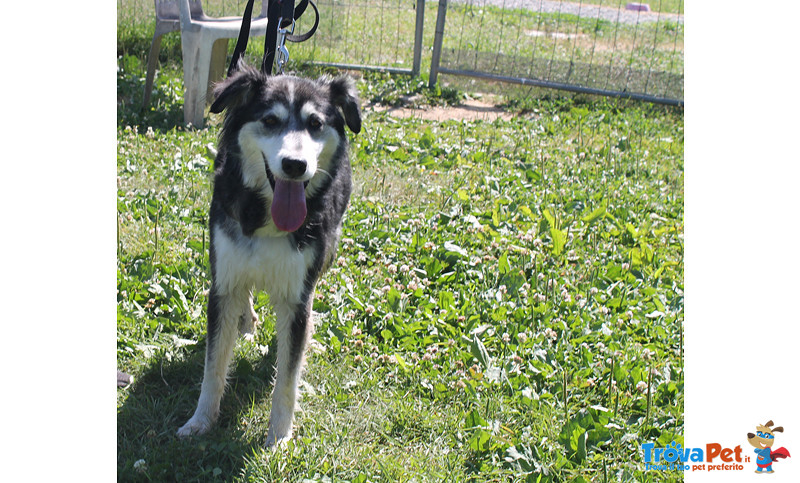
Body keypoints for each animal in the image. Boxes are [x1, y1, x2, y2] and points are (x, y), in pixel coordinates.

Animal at [178, 63, 362, 446]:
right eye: (270, 121)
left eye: (315, 124)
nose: (295, 165)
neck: (266, 216)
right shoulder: (223, 280)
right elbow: (213, 365)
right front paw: (201, 421)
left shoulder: (297, 295)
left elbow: (288, 377)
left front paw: (278, 438)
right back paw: (247, 321)